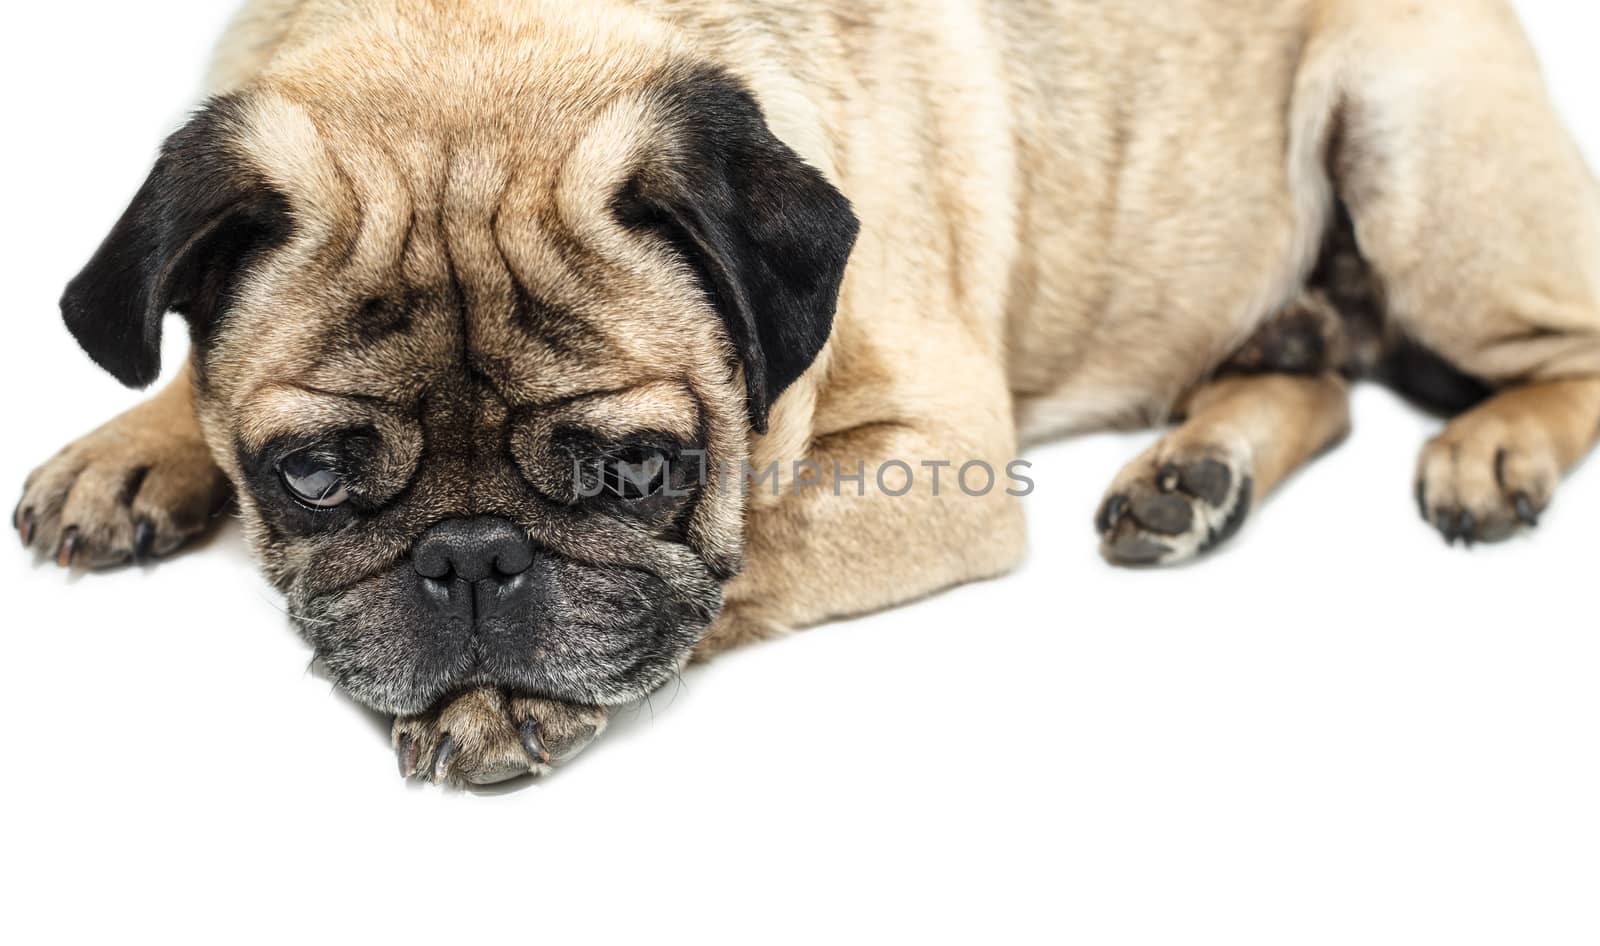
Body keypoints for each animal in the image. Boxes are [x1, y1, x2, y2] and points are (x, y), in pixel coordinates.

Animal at [15, 0, 1600, 784]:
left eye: (636, 469)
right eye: (312, 476)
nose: (472, 559)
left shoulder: (941, 457)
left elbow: (751, 548)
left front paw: (502, 704)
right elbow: (175, 363)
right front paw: (134, 445)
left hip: (1419, 157)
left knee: (1563, 345)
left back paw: (1490, 449)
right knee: (1310, 374)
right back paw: (1191, 475)